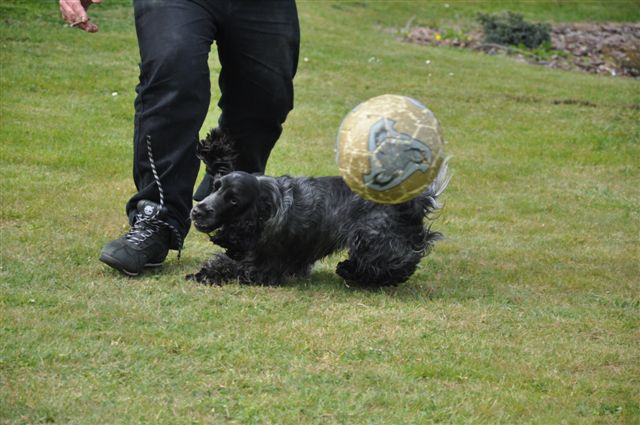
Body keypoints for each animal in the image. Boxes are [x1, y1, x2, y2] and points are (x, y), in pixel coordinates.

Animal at [186, 129, 450, 286]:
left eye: (233, 200)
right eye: (215, 187)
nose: (197, 212)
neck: (267, 206)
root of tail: (417, 198)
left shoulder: (263, 265)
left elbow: (237, 269)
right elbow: (223, 261)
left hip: (373, 235)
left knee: (399, 260)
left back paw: (351, 271)